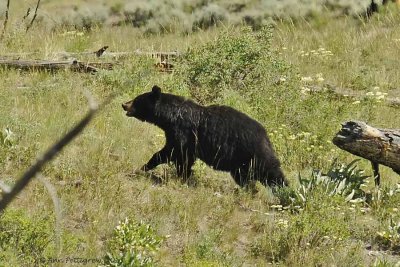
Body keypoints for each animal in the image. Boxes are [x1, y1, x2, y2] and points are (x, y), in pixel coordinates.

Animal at [122, 86, 288, 188]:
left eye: (136, 99)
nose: (124, 104)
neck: (170, 117)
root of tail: (266, 136)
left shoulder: (183, 133)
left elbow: (174, 153)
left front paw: (146, 167)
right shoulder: (176, 135)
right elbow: (177, 154)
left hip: (254, 154)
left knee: (273, 173)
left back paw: (285, 192)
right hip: (240, 164)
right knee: (245, 179)